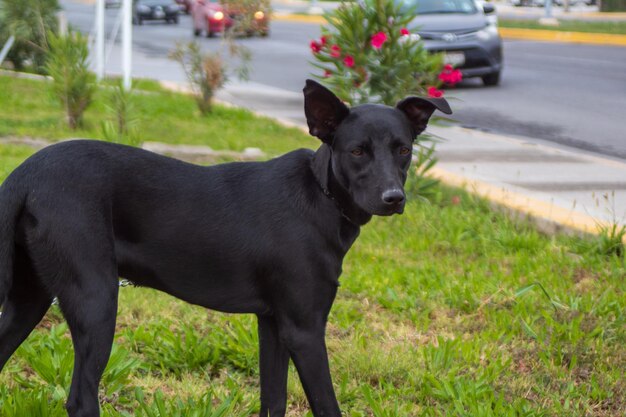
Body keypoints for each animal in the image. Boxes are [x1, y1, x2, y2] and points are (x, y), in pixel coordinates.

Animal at [0, 80, 448, 416]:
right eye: (356, 151)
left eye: (404, 149)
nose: (394, 198)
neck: (320, 195)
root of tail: (25, 175)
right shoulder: (304, 329)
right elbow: (326, 406)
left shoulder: (273, 324)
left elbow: (274, 401)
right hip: (96, 300)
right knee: (80, 399)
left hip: (30, 298)